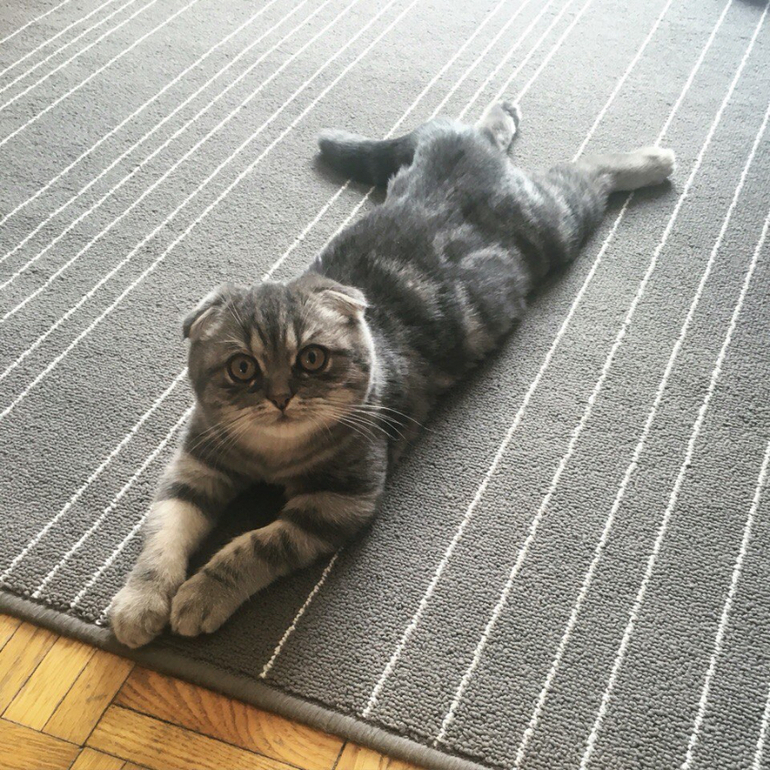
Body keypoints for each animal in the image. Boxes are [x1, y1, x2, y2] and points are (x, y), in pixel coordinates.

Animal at [110, 102, 674, 647]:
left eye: (311, 359)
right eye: (242, 368)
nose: (280, 397)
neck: (272, 455)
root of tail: (461, 142)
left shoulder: (336, 501)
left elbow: (255, 546)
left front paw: (202, 594)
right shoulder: (195, 468)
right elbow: (161, 536)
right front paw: (142, 600)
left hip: (555, 221)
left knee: (586, 172)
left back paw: (651, 159)